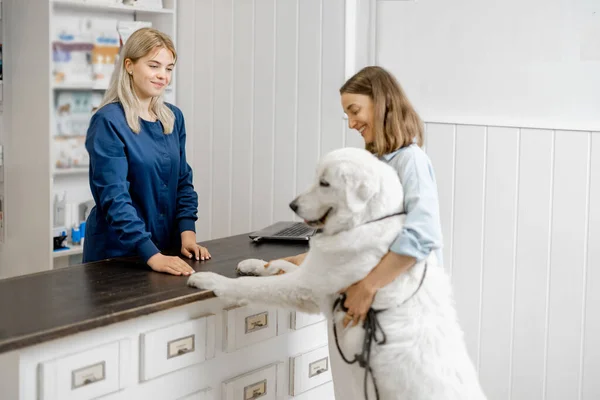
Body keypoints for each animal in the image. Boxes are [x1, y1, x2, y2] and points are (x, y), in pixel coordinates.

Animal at [188, 148, 488, 400]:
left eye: (324, 183)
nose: (292, 205)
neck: (366, 222)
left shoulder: (305, 286)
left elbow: (253, 287)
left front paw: (209, 279)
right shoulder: (314, 274)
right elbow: (281, 266)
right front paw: (254, 263)